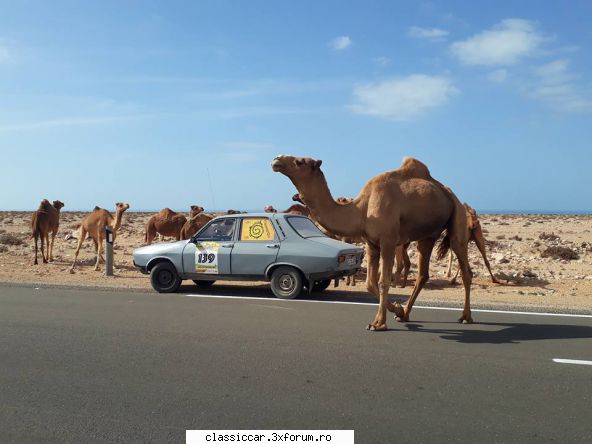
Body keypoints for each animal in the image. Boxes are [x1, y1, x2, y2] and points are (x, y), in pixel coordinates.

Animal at [272, 154, 472, 332]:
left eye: (300, 161)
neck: (361, 209)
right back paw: (405, 315)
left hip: (457, 216)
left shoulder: (388, 241)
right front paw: (397, 309)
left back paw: (465, 317)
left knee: (464, 266)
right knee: (423, 274)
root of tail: (447, 192)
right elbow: (370, 283)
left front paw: (378, 324)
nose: (276, 159)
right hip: (428, 236)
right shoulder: (371, 244)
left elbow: (384, 281)